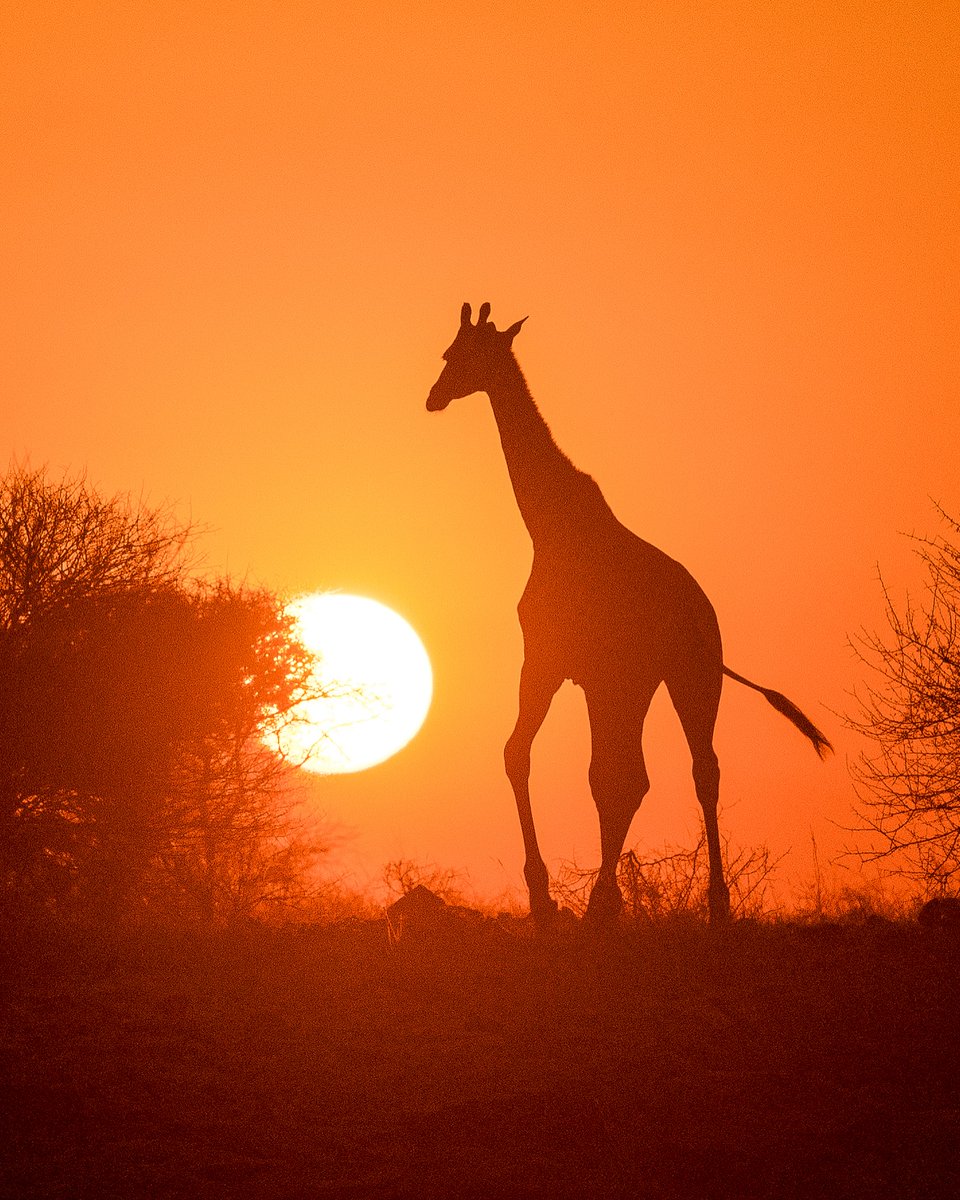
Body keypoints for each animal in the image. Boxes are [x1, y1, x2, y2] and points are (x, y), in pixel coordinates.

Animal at [426, 303, 831, 926]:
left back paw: (696, 903)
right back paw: (645, 901)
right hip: (653, 680)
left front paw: (555, 897)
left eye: (460, 356)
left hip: (679, 676)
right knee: (653, 774)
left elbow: (548, 762)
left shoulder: (563, 664)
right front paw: (561, 898)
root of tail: (705, 613)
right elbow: (546, 761)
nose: (434, 396)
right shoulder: (572, 669)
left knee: (687, 771)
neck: (550, 528)